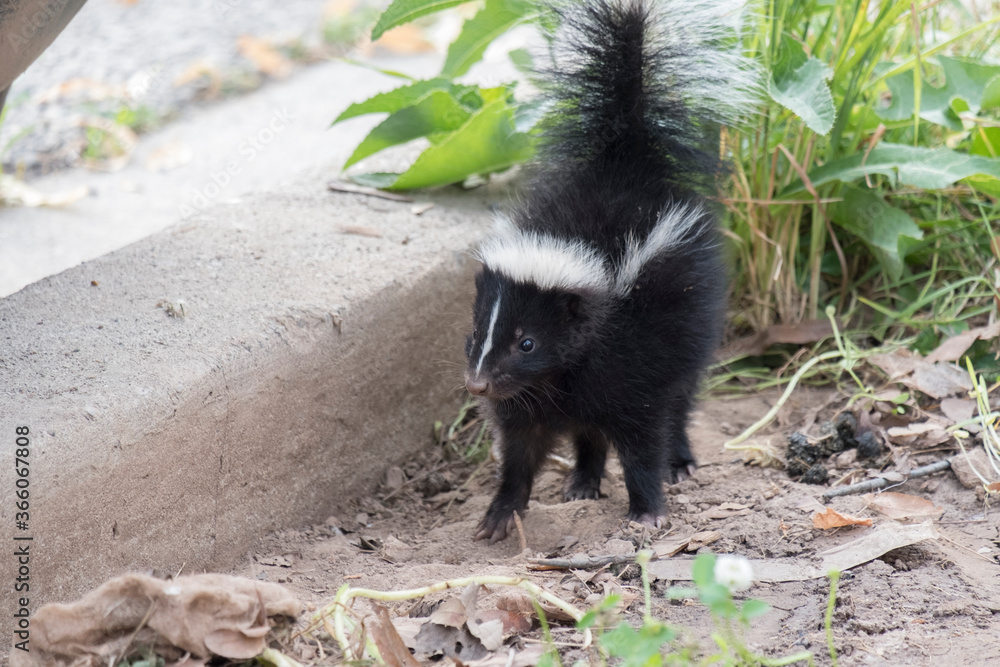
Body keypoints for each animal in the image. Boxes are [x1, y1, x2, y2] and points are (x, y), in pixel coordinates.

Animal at [464, 0, 752, 544]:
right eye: (474, 335)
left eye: (527, 342)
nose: (478, 385)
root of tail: (627, 155)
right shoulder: (530, 398)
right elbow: (520, 452)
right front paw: (500, 513)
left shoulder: (630, 362)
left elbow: (641, 440)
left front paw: (648, 510)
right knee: (589, 430)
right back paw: (582, 481)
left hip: (688, 321)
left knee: (681, 395)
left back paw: (679, 461)